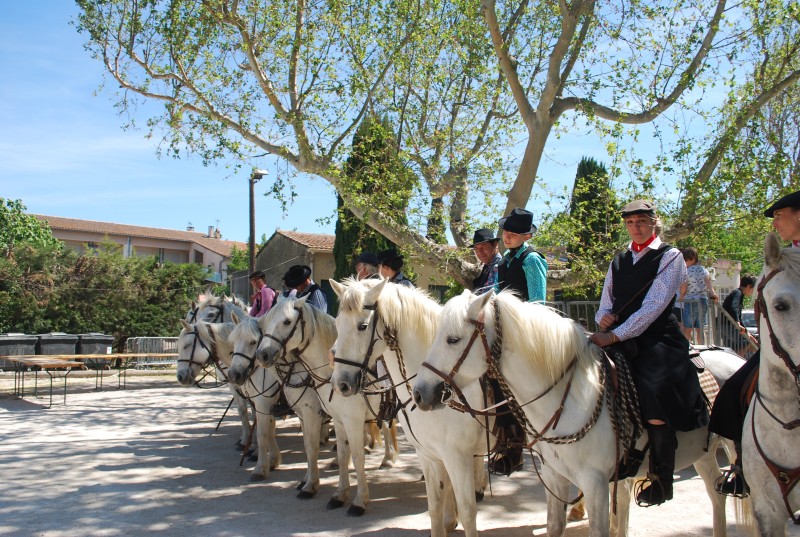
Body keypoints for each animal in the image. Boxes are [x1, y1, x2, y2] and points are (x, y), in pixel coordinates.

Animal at [177, 316, 282, 480]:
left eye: (187, 345)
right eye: (233, 343)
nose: (180, 377)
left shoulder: (263, 401)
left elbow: (262, 431)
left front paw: (260, 466)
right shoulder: (258, 400)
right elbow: (265, 426)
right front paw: (271, 459)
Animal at [228, 296, 396, 512]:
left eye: (287, 321)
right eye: (233, 341)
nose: (262, 355)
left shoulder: (301, 412)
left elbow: (269, 435)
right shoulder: (303, 413)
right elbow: (309, 446)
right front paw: (307, 481)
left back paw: (389, 460)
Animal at [328, 276, 490, 536]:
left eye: (362, 326)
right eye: (338, 323)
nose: (340, 384)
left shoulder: (456, 455)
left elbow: (467, 513)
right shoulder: (429, 453)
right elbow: (435, 504)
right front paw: (447, 520)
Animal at [412, 288, 744, 536]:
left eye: (453, 339)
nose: (420, 393)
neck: (568, 399)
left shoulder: (595, 483)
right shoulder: (555, 476)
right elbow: (554, 526)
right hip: (703, 454)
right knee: (716, 494)